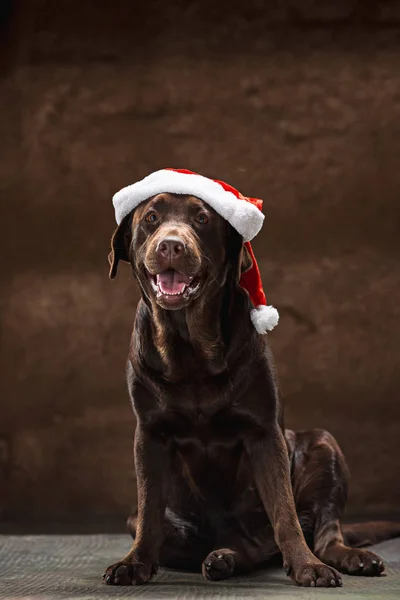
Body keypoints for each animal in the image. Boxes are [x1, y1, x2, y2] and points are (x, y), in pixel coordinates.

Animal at [104, 195, 398, 588]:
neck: (192, 347)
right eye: (151, 218)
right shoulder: (150, 435)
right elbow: (150, 510)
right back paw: (223, 558)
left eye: (202, 218)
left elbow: (285, 513)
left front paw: (307, 566)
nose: (171, 245)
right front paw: (134, 563)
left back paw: (349, 558)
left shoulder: (265, 433)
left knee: (322, 533)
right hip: (143, 518)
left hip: (323, 444)